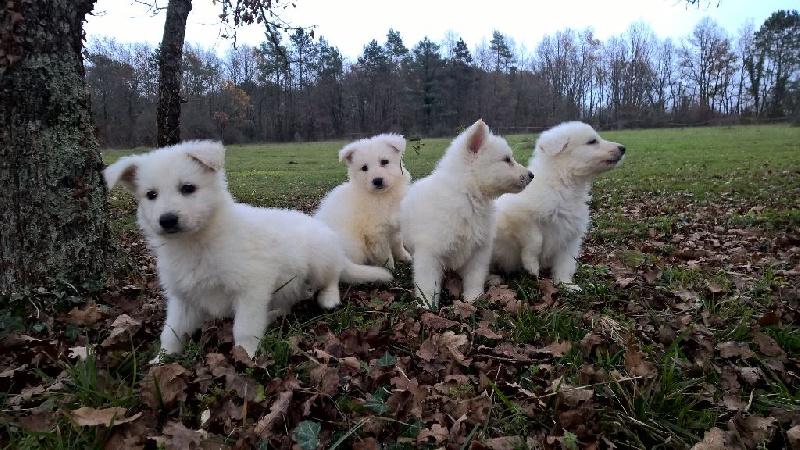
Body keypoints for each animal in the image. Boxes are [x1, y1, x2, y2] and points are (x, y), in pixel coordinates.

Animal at [104, 141, 392, 358]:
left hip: (320, 258)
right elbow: (172, 331)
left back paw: (328, 298)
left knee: (331, 279)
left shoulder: (251, 287)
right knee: (289, 303)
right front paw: (161, 360)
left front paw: (247, 356)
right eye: (150, 195)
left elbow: (244, 327)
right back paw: (273, 315)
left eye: (187, 188)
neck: (196, 243)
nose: (167, 220)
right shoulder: (182, 297)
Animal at [314, 133, 412, 268]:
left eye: (384, 162)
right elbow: (385, 255)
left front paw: (404, 257)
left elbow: (398, 243)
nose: (377, 181)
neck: (383, 196)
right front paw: (390, 268)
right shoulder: (375, 234)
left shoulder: (395, 225)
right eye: (364, 168)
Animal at [398, 118, 532, 310]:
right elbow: (428, 285)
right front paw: (427, 306)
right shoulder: (429, 254)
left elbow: (475, 278)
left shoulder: (479, 251)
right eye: (507, 160)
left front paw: (473, 299)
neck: (468, 195)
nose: (531, 175)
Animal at [490, 121, 628, 290]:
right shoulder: (520, 218)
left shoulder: (569, 237)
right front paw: (532, 266)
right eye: (592, 141)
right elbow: (536, 241)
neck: (563, 183)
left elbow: (565, 264)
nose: (623, 148)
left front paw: (567, 285)